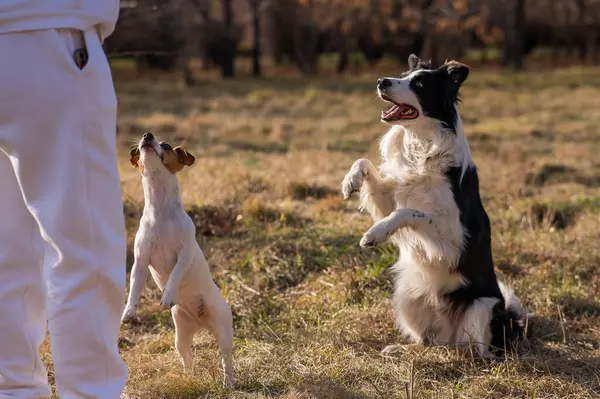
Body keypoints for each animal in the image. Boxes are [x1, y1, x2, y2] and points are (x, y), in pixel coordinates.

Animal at [122, 134, 234, 388]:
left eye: (165, 146)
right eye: (141, 146)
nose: (147, 135)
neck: (160, 212)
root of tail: (201, 323)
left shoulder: (184, 255)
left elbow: (174, 273)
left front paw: (168, 295)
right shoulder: (140, 260)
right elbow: (134, 286)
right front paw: (129, 311)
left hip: (224, 332)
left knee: (227, 360)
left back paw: (229, 383)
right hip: (180, 337)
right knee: (187, 359)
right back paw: (188, 378)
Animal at [342, 54, 528, 360]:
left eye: (419, 83)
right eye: (402, 75)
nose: (381, 81)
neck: (422, 144)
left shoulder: (453, 240)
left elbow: (408, 212)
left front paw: (375, 234)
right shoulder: (390, 196)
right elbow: (365, 164)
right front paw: (351, 180)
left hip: (484, 306)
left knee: (478, 351)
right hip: (407, 294)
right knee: (428, 341)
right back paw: (403, 349)